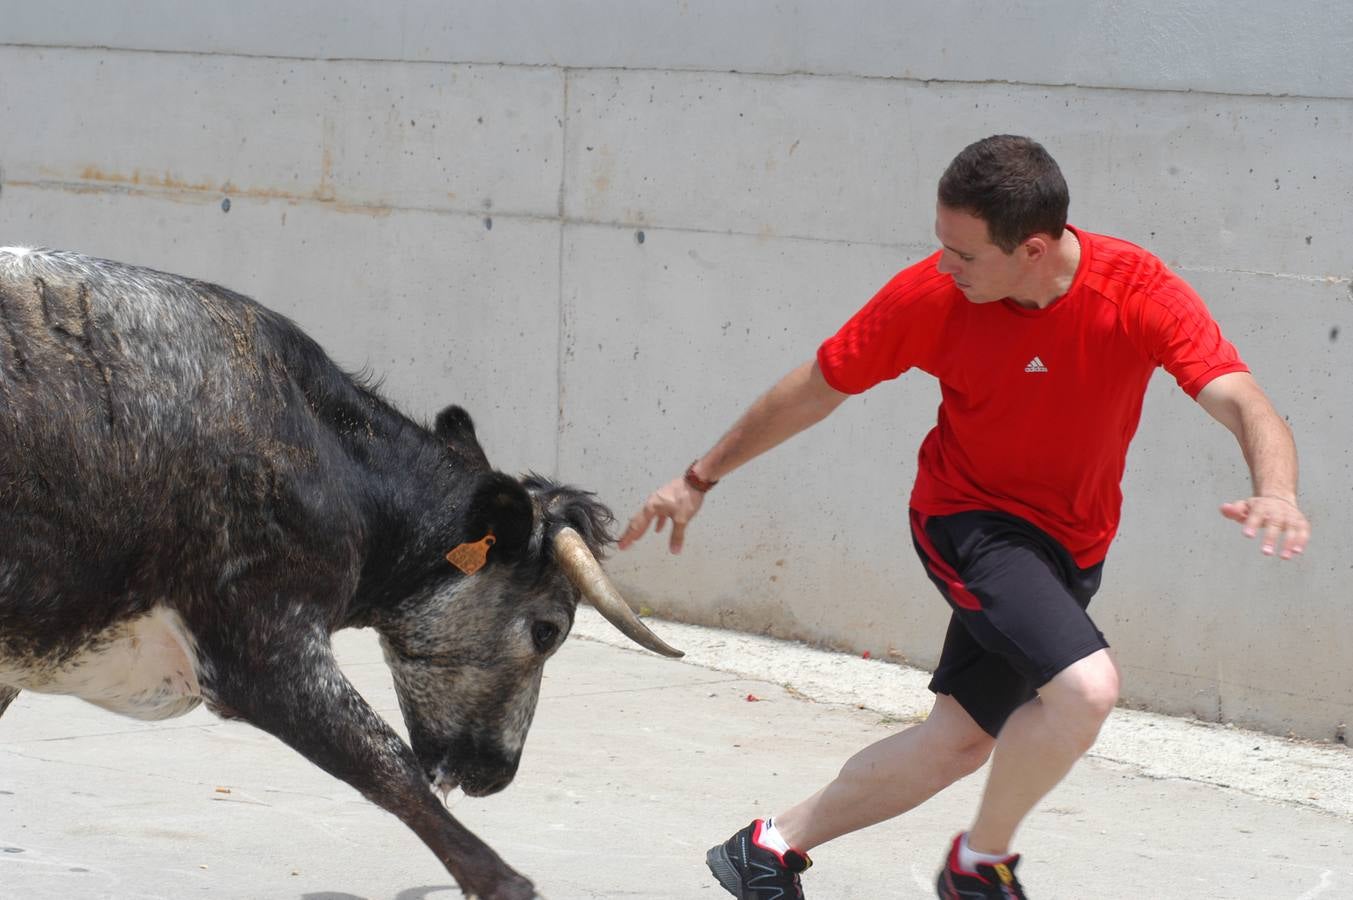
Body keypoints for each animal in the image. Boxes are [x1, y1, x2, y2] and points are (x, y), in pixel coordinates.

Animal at [0, 247, 676, 898]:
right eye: (548, 630)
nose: (497, 775)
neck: (324, 452)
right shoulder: (263, 646)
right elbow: (387, 763)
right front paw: (504, 883)